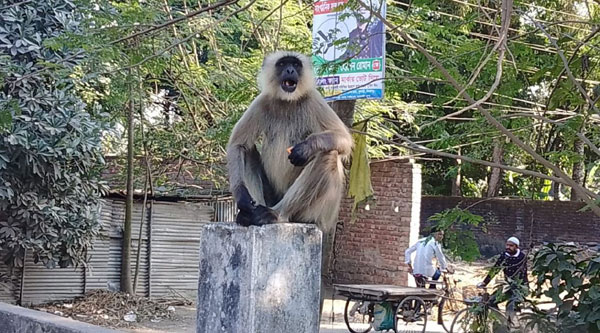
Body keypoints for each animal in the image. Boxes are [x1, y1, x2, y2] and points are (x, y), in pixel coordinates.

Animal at [227, 51, 354, 231]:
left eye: (295, 65)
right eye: (283, 64)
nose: (289, 70)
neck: (287, 101)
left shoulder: (313, 99)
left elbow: (344, 139)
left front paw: (306, 147)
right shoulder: (261, 101)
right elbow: (238, 145)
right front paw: (242, 198)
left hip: (313, 212)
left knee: (328, 154)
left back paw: (276, 214)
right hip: (271, 197)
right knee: (247, 149)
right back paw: (250, 214)